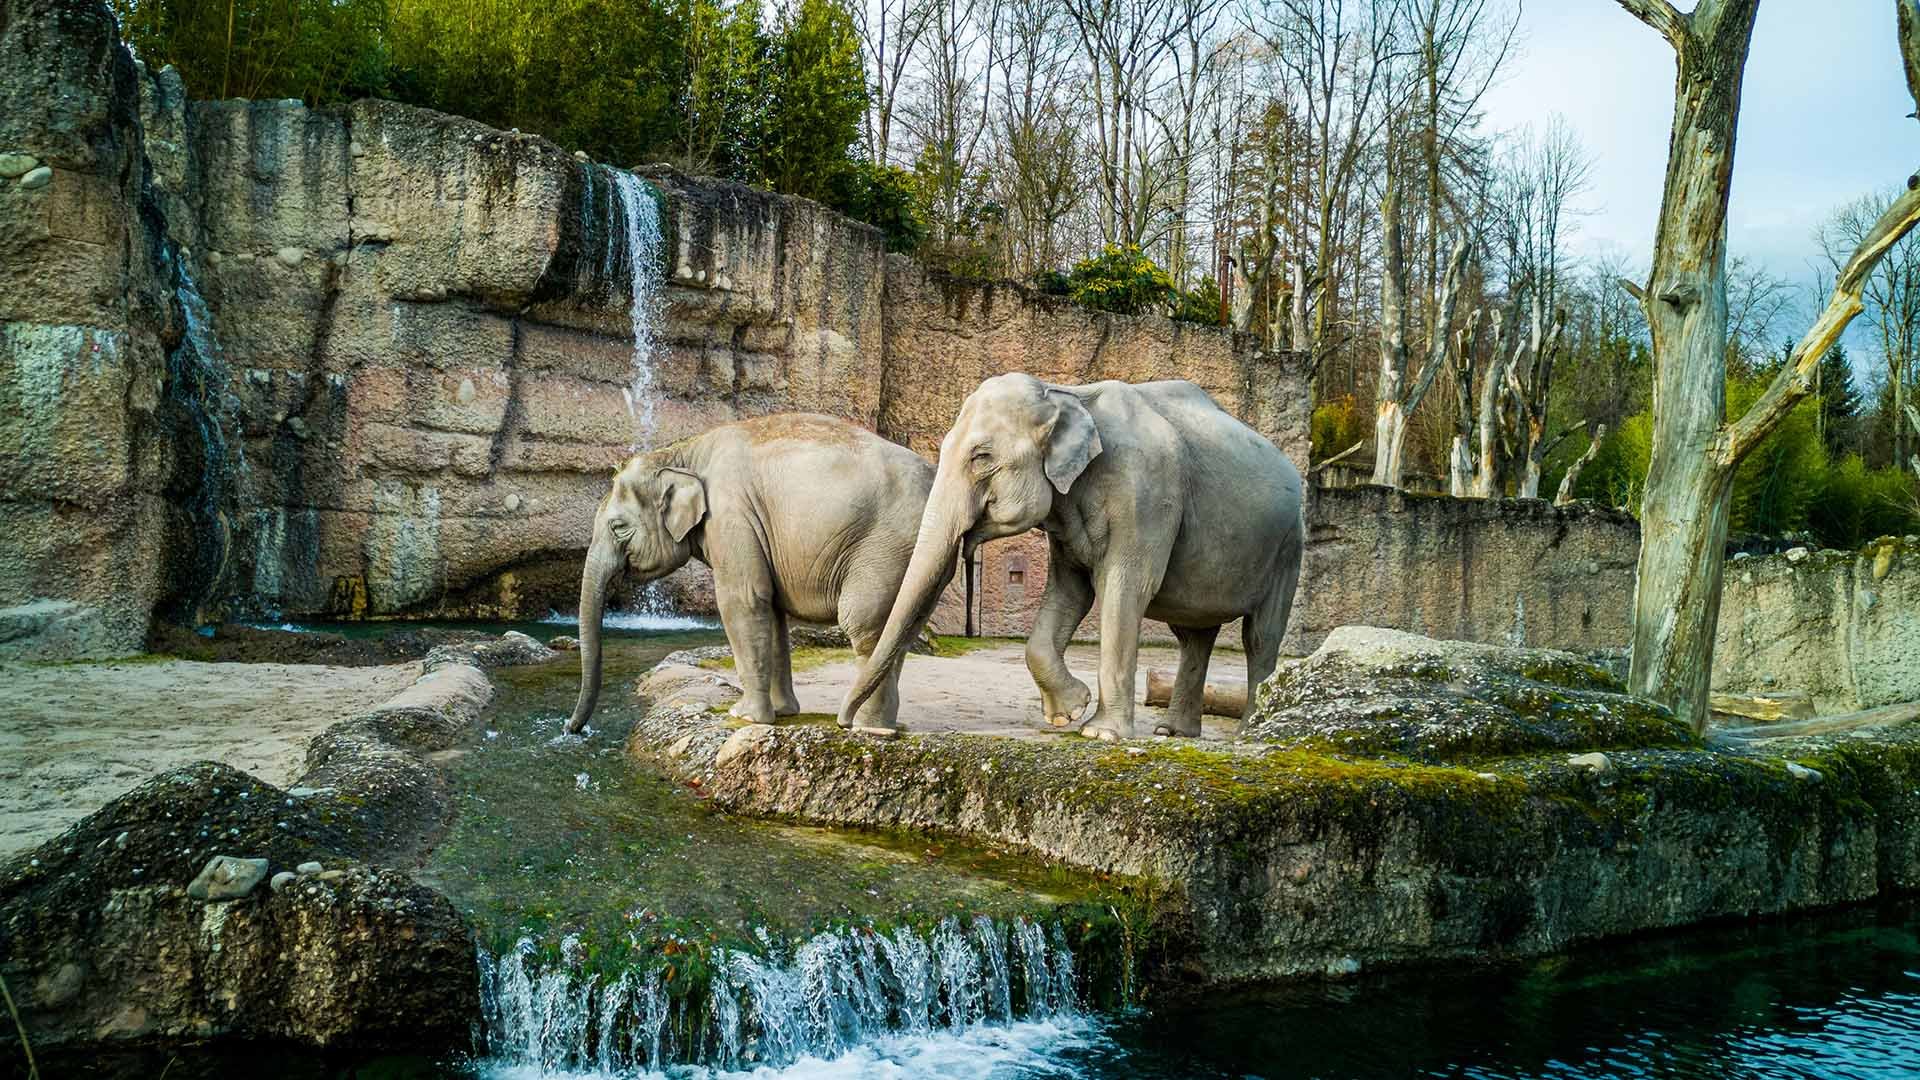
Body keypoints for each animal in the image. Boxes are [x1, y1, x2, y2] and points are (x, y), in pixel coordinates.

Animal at [566, 413, 947, 736]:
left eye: (618, 527)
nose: (573, 729)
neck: (684, 452)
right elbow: (772, 611)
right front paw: (783, 712)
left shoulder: (730, 514)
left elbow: (744, 599)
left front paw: (744, 716)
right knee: (900, 630)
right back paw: (883, 725)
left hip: (885, 548)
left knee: (865, 624)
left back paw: (866, 727)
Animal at [838, 373, 1304, 741]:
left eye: (982, 457)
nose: (845, 723)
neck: (1069, 396)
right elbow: (1069, 592)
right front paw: (1069, 712)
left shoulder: (1147, 496)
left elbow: (1127, 588)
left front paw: (1100, 732)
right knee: (1193, 636)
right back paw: (1171, 732)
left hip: (1289, 546)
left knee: (1259, 636)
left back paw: (1248, 733)